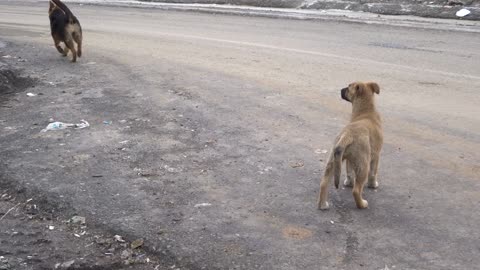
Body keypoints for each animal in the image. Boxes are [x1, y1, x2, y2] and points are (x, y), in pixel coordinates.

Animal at [316, 81, 384, 210]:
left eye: (348, 88)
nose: (340, 89)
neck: (365, 112)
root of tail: (348, 134)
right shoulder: (376, 155)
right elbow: (373, 173)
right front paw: (373, 185)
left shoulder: (349, 159)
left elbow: (349, 172)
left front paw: (348, 182)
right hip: (363, 164)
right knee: (356, 190)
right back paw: (362, 204)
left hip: (333, 160)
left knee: (323, 183)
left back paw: (323, 205)